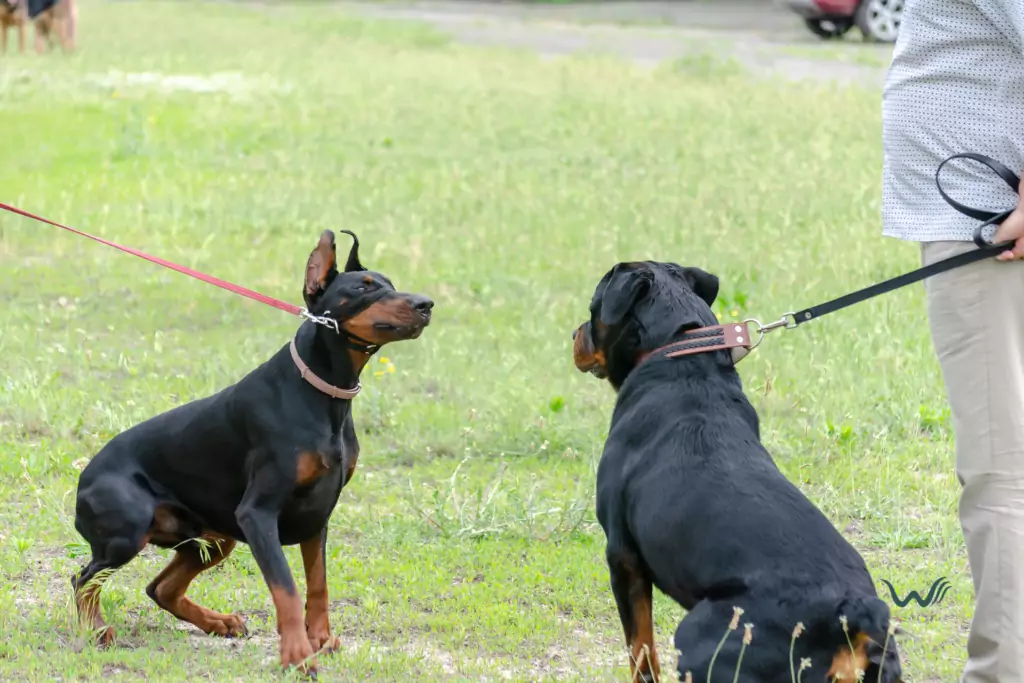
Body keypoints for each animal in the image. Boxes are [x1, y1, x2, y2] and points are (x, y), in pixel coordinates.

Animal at [71, 229, 432, 671]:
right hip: (130, 532)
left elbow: (318, 585)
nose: (426, 304)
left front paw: (320, 639)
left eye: (391, 284)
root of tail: (82, 481)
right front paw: (298, 656)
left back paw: (218, 622)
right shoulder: (258, 515)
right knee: (84, 577)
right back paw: (97, 630)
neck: (323, 393)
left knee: (160, 588)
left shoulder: (318, 515)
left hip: (214, 538)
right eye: (362, 288)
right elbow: (287, 588)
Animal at [573, 262, 901, 683]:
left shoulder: (622, 555)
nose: (574, 334)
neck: (679, 349)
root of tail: (851, 616)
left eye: (593, 307)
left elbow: (641, 649)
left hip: (702, 636)